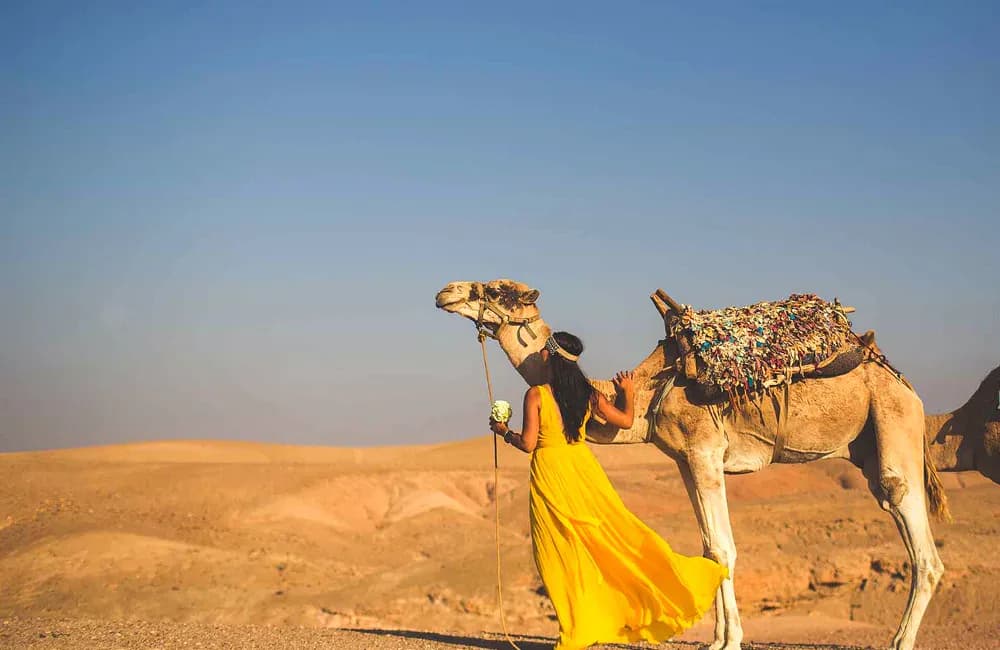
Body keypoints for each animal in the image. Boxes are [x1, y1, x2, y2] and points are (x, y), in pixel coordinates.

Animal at [436, 278, 948, 650]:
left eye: (496, 291)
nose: (446, 291)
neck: (648, 390)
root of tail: (907, 385)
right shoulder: (685, 460)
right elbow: (708, 548)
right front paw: (718, 639)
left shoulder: (704, 452)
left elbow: (723, 548)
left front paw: (730, 642)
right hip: (868, 444)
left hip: (893, 421)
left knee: (920, 543)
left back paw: (900, 642)